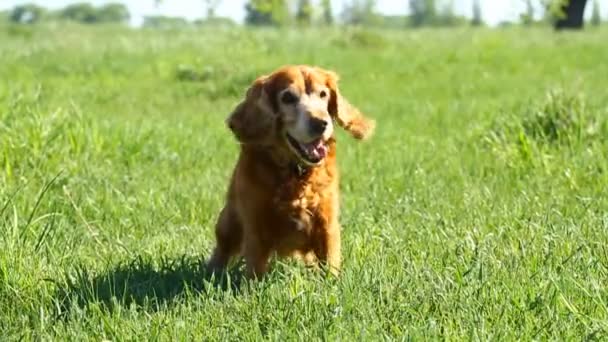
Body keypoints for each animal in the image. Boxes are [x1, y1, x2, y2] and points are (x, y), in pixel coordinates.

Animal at [207, 65, 372, 278]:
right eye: (288, 98)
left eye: (323, 94)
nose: (321, 123)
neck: (296, 174)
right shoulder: (255, 226)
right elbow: (254, 270)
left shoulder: (327, 223)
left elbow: (330, 264)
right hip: (228, 222)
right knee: (222, 248)